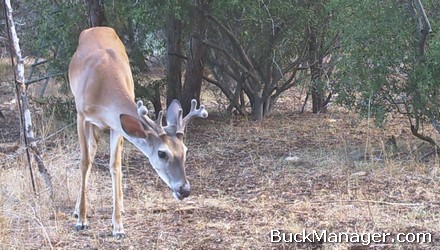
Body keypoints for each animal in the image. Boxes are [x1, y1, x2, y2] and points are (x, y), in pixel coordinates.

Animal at [67, 26, 208, 237]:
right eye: (162, 153)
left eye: (185, 151)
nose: (185, 190)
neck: (102, 85)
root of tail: (97, 27)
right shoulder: (81, 115)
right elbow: (84, 163)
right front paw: (82, 220)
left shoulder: (116, 124)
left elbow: (115, 166)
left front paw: (118, 225)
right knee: (90, 155)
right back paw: (78, 211)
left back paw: (120, 206)